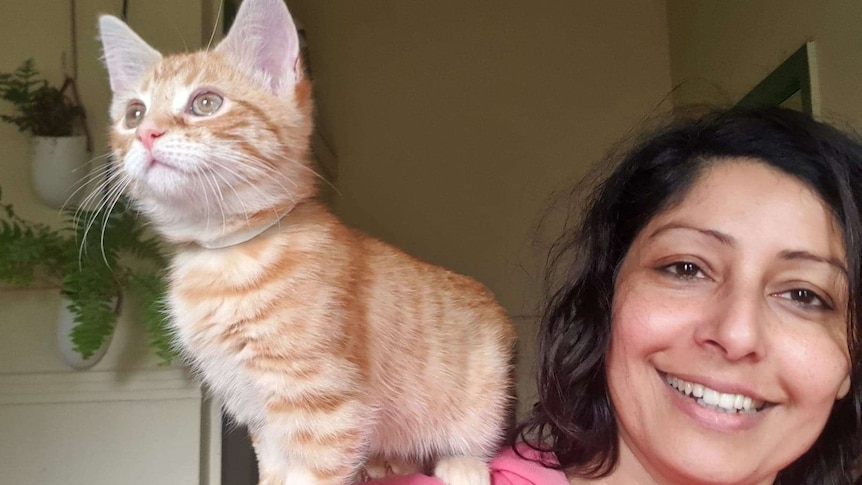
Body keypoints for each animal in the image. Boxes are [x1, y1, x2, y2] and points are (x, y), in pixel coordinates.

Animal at [101, 0, 520, 484]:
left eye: (206, 103)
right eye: (133, 114)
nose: (146, 133)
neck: (224, 259)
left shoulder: (327, 412)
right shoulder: (259, 415)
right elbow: (274, 472)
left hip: (485, 400)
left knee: (473, 445)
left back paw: (460, 465)